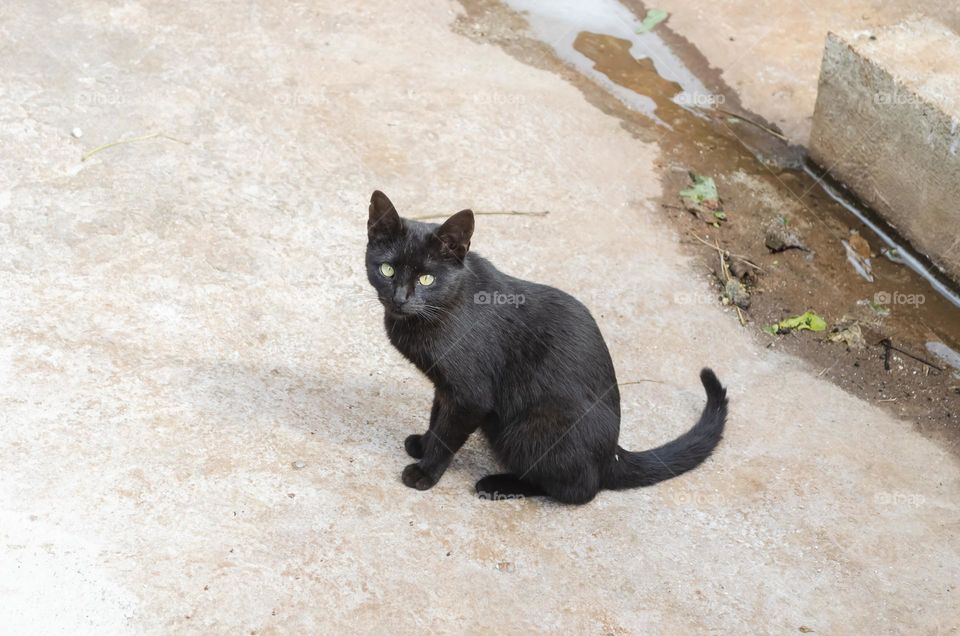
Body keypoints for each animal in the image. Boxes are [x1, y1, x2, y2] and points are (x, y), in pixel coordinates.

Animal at [368, 189, 728, 502]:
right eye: (387, 269)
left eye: (426, 279)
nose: (400, 298)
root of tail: (611, 455)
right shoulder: (445, 388)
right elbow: (436, 417)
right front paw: (423, 443)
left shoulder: (470, 395)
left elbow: (447, 434)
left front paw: (425, 472)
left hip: (526, 429)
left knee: (579, 490)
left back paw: (498, 484)